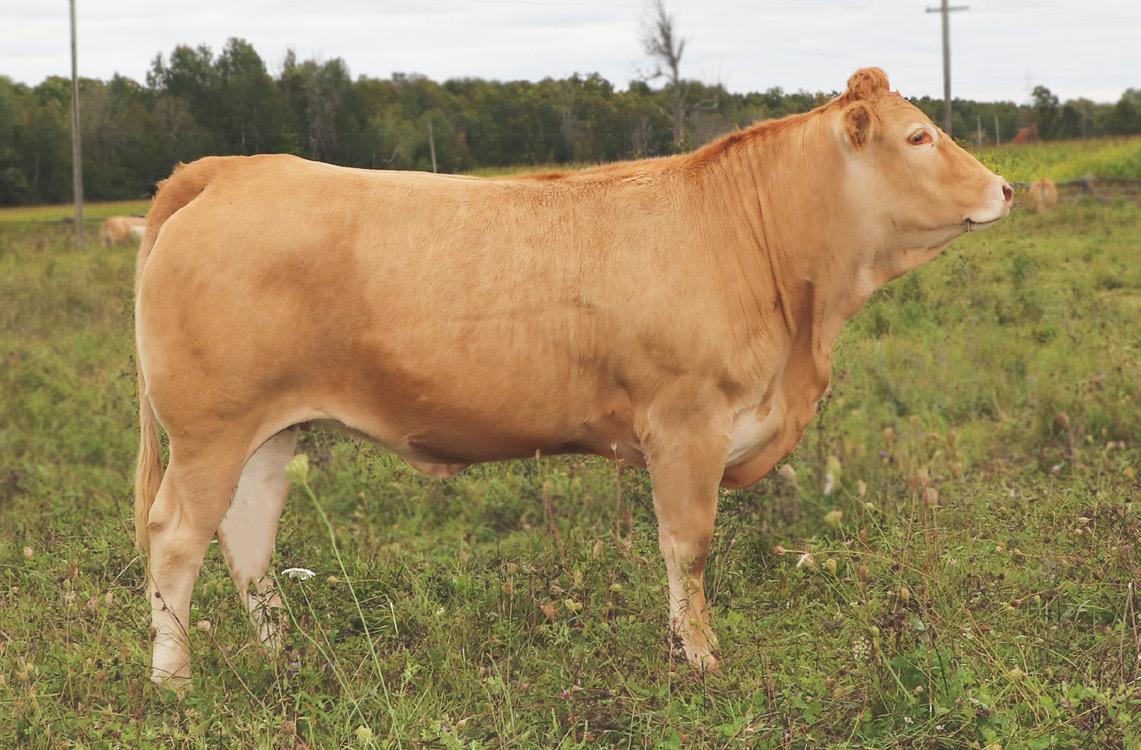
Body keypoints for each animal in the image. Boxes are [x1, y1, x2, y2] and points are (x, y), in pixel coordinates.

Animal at [133, 67, 1012, 685]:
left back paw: (284, 658)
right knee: (175, 538)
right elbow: (687, 545)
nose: (1003, 188)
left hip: (268, 433)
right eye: (918, 137)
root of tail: (234, 170)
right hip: (210, 431)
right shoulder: (687, 422)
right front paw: (698, 656)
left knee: (246, 539)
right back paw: (175, 682)